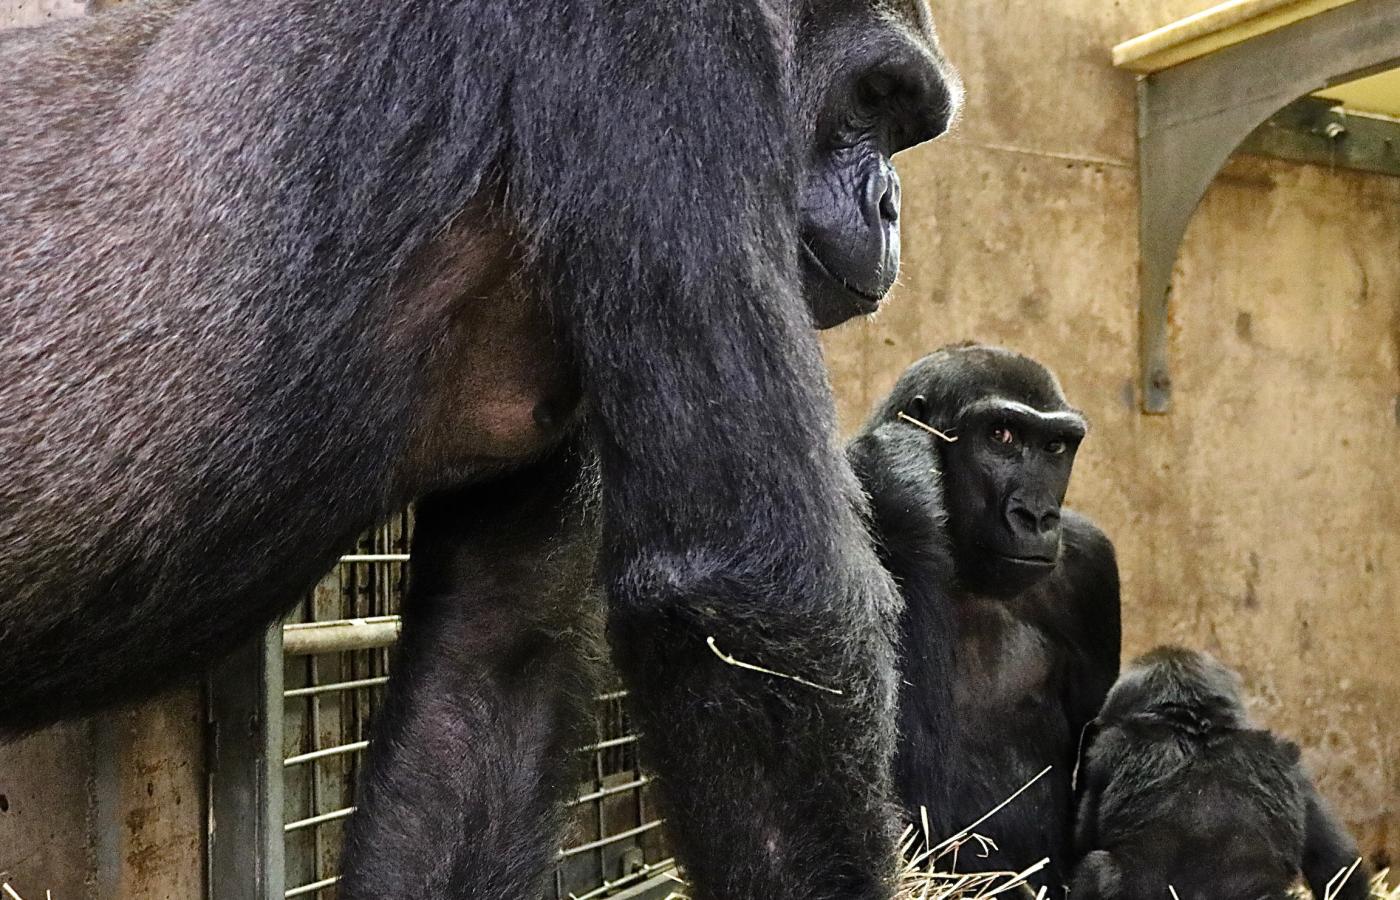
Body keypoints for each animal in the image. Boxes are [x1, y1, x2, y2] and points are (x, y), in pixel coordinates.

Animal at [0, 1, 952, 895]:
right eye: (875, 97)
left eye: (903, 121)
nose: (892, 207)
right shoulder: (664, 37)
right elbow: (756, 579)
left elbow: (494, 652)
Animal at [1069, 646, 1366, 900]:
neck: (1198, 726)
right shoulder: (1294, 766)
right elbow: (1338, 862)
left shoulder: (1107, 752)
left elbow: (1083, 837)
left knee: (1095, 870)